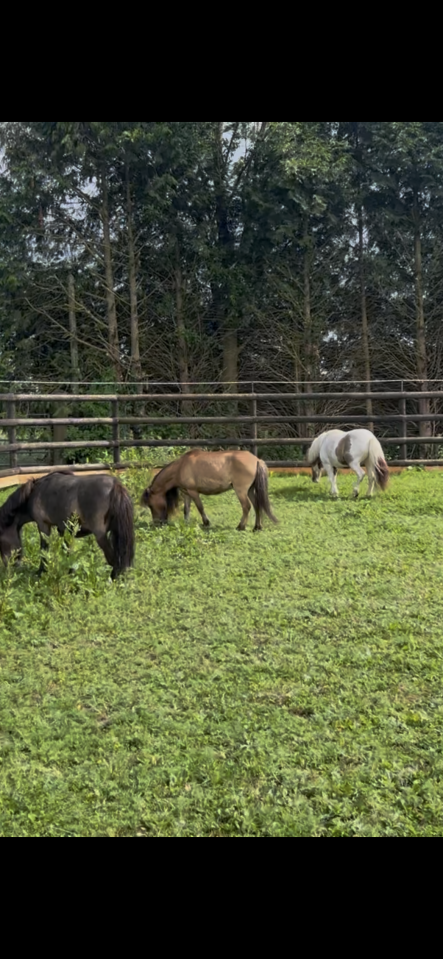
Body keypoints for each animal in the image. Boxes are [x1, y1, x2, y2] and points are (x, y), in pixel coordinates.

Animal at [0, 471, 135, 578]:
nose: (9, 567)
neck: (35, 492)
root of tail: (115, 485)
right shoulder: (64, 530)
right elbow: (67, 551)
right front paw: (69, 573)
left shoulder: (43, 525)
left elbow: (44, 549)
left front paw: (41, 572)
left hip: (101, 536)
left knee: (113, 560)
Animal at [141, 449, 278, 531]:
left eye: (150, 505)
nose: (157, 523)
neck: (181, 467)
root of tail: (256, 460)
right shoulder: (186, 493)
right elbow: (186, 509)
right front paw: (186, 523)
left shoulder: (193, 492)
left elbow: (200, 508)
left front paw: (206, 523)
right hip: (250, 490)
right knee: (257, 505)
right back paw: (257, 527)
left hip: (241, 491)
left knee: (246, 507)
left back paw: (241, 526)